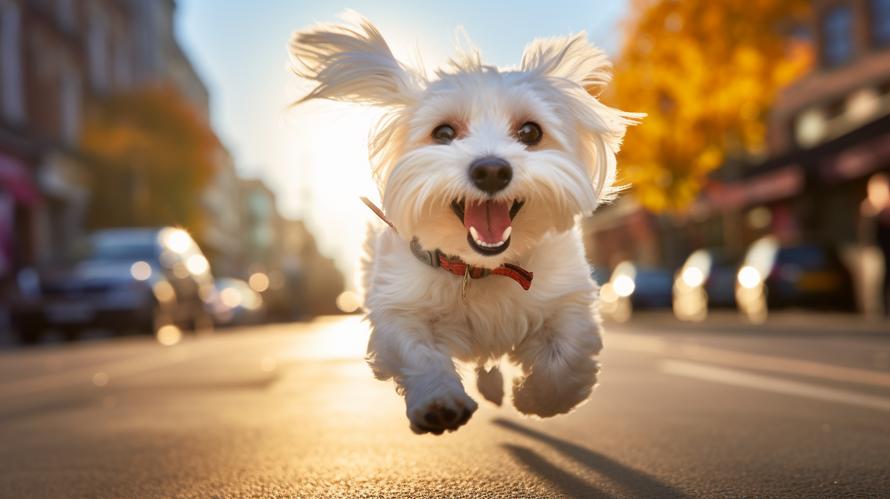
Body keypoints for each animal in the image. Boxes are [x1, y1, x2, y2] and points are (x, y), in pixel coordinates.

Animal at [288, 10, 636, 434]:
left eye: (530, 131)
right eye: (444, 132)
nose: (491, 170)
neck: (482, 268)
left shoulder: (565, 298)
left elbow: (565, 361)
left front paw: (536, 399)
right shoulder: (400, 305)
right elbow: (418, 352)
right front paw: (438, 403)